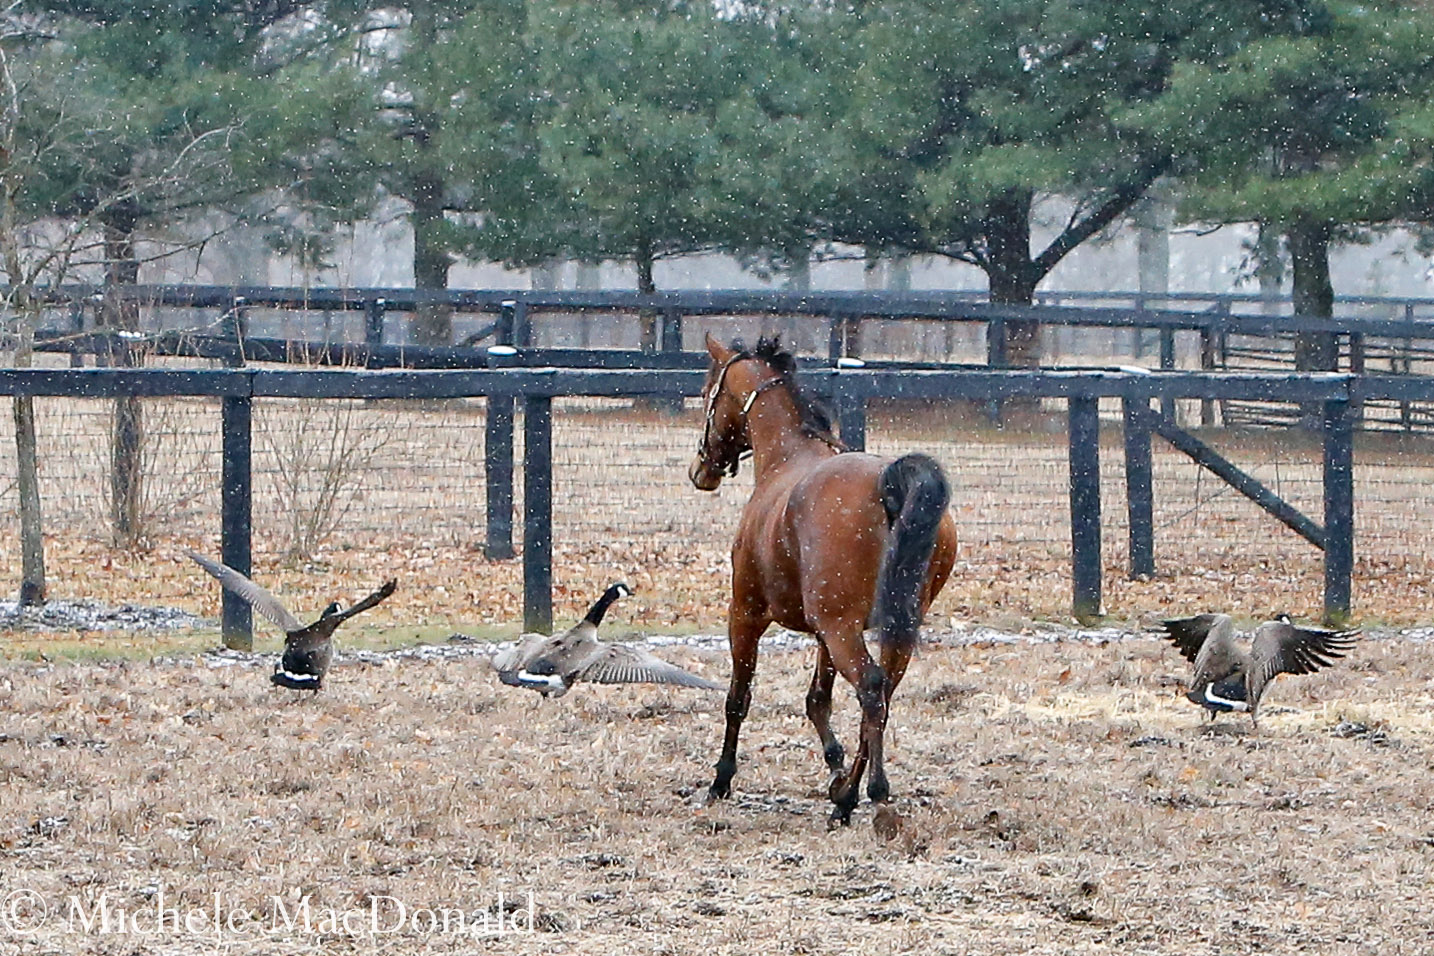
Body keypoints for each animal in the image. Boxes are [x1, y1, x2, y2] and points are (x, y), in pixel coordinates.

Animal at [688, 332, 957, 825]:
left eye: (706, 393)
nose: (702, 471)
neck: (786, 458)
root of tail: (888, 486)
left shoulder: (746, 616)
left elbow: (738, 698)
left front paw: (721, 779)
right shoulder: (821, 635)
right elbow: (818, 699)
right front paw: (834, 769)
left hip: (841, 629)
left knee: (870, 688)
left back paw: (866, 795)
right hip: (889, 629)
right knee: (882, 696)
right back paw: (848, 792)